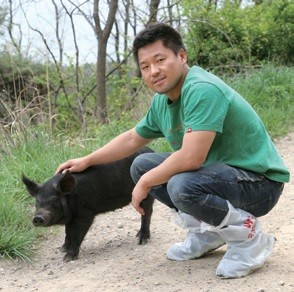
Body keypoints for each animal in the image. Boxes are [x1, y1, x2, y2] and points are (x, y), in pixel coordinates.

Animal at [22, 147, 155, 262]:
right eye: (37, 201)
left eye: (54, 200)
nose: (37, 217)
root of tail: (151, 150)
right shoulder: (72, 217)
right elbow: (67, 232)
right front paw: (62, 249)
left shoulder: (86, 213)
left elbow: (77, 233)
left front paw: (67, 258)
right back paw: (137, 235)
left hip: (145, 194)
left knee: (147, 213)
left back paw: (142, 240)